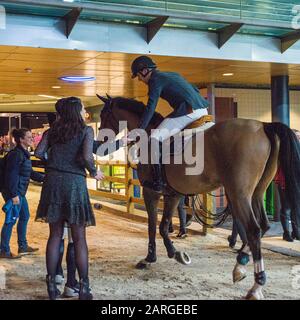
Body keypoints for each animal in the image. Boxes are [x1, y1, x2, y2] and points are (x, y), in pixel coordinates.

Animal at [96, 94, 300, 298]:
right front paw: (175, 253)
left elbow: (152, 226)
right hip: (256, 193)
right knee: (264, 225)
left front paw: (149, 258)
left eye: (104, 115)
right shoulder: (173, 194)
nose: (98, 145)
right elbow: (163, 226)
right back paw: (240, 266)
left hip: (239, 194)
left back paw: (255, 286)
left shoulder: (151, 192)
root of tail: (263, 126)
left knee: (254, 230)